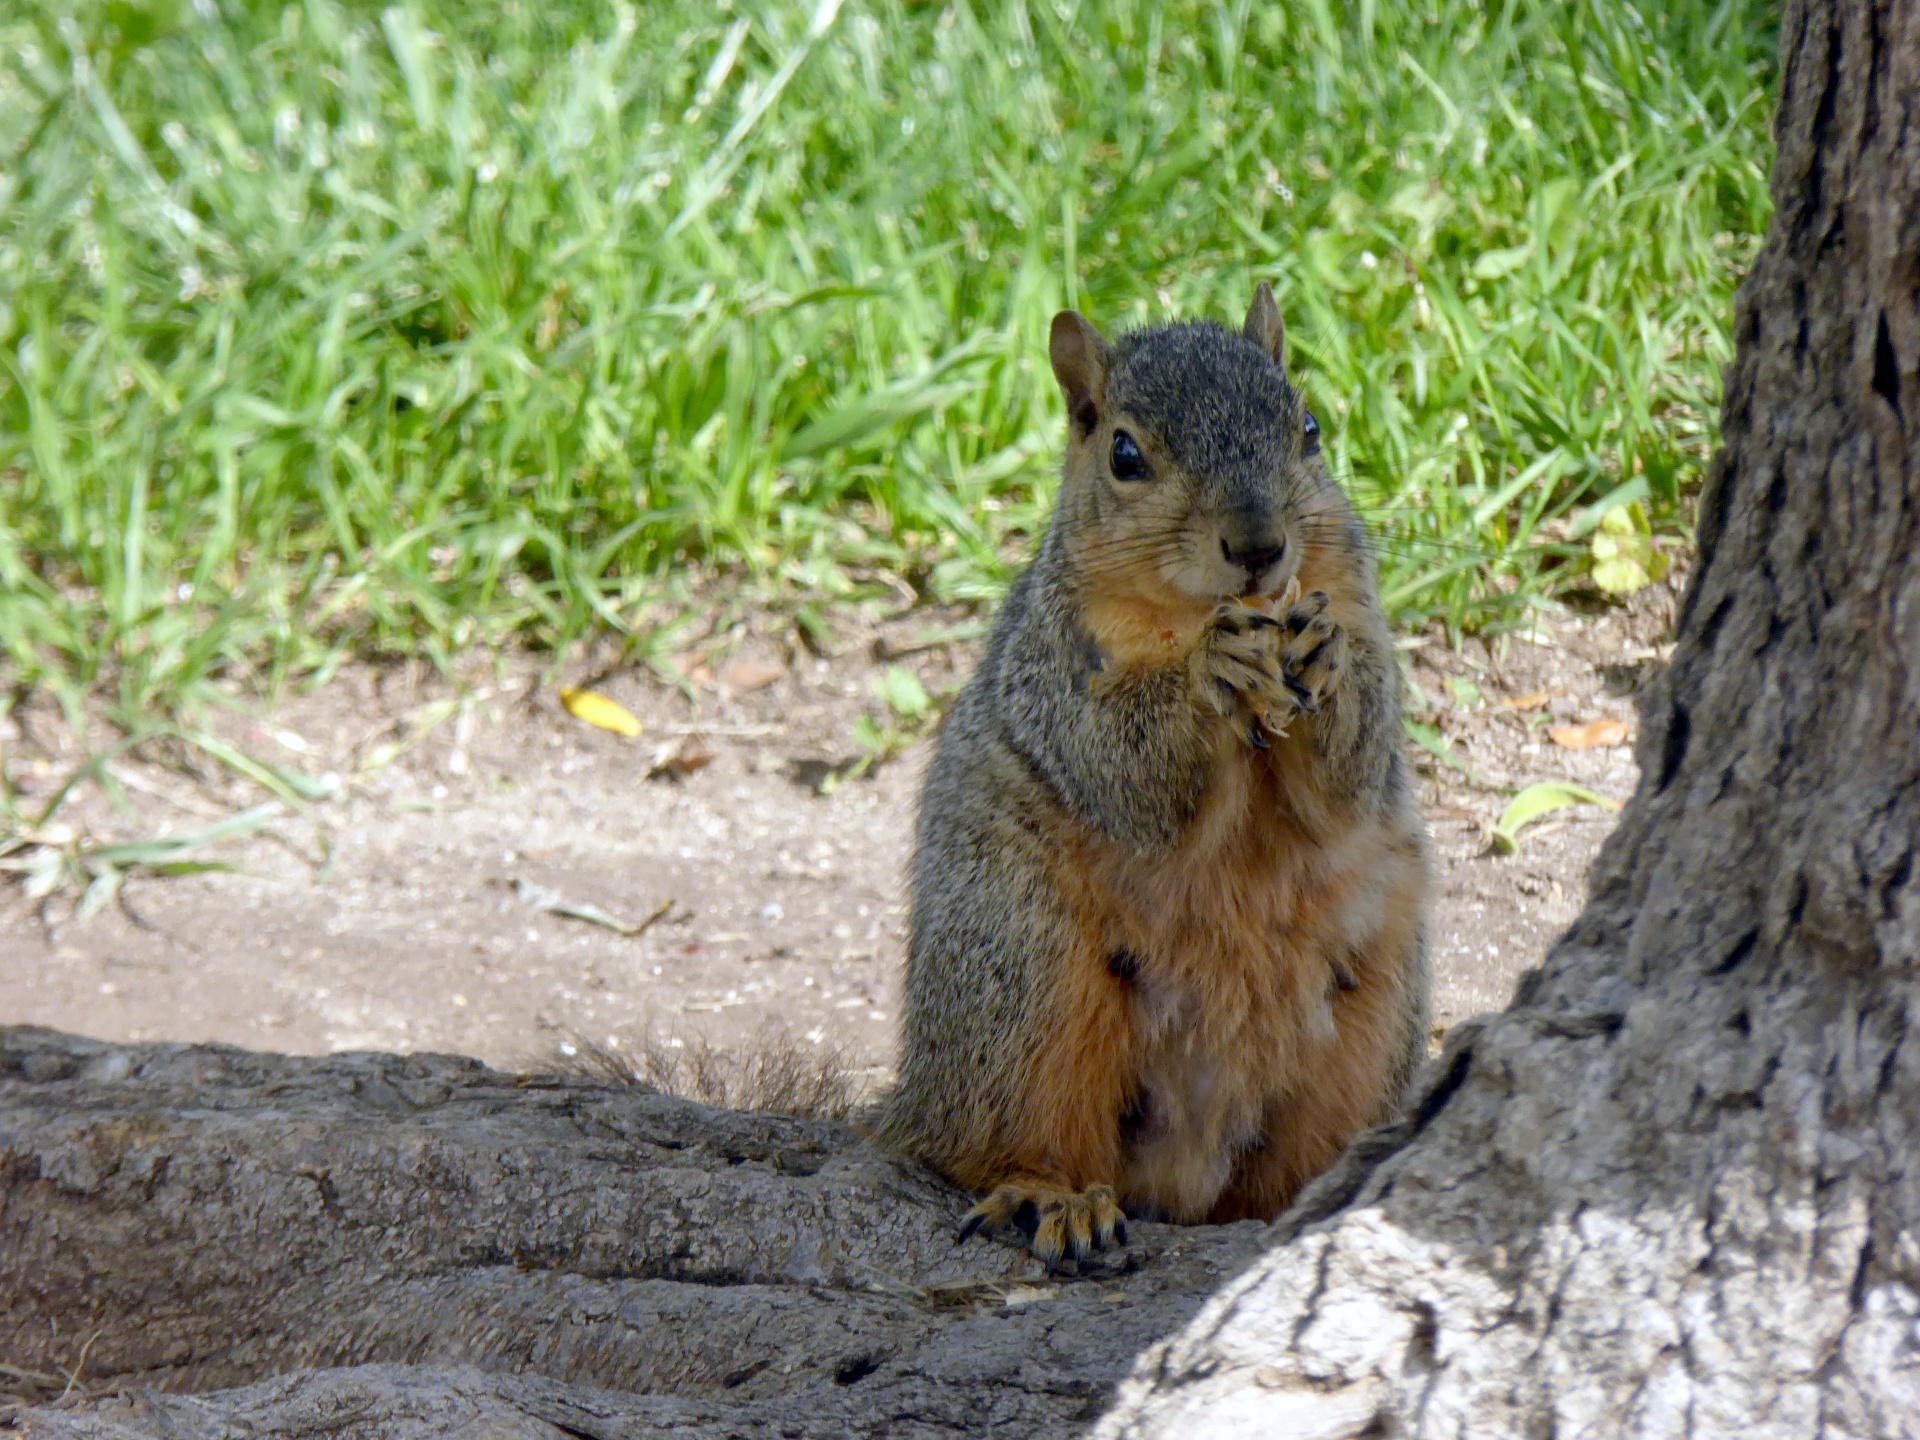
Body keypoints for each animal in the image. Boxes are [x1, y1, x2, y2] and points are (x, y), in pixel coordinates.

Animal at [879, 284, 1436, 1274]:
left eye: (1309, 428)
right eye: (1125, 455)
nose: (1258, 545)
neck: (1200, 610)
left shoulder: (1357, 604)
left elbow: (1355, 777)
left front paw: (1322, 659)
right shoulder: (1056, 669)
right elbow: (1124, 765)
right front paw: (1209, 674)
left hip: (1373, 1020)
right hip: (1021, 971)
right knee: (988, 1142)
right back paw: (1051, 1198)